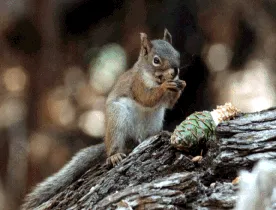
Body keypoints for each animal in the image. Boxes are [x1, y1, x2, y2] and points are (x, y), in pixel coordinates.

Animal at [21, 28, 185, 209]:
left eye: (177, 54)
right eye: (156, 60)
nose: (176, 71)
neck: (153, 77)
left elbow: (169, 103)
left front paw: (181, 84)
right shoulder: (136, 84)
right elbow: (146, 98)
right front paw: (165, 87)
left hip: (155, 121)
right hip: (117, 118)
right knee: (114, 145)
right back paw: (114, 155)